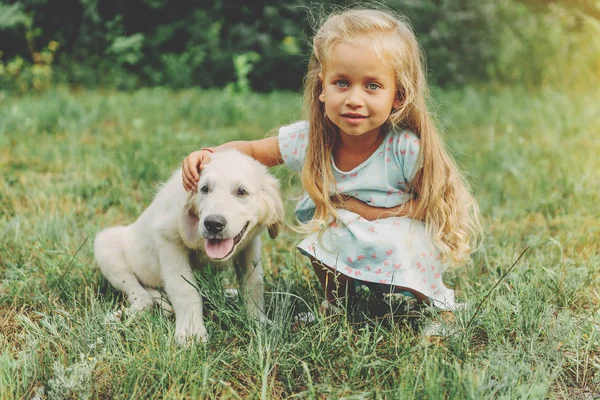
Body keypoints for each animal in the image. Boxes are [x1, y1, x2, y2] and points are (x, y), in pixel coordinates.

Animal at [94, 150, 284, 344]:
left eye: (241, 191)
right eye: (204, 189)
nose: (213, 224)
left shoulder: (249, 246)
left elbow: (254, 284)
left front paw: (259, 321)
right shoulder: (168, 240)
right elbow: (185, 290)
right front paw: (191, 332)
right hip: (106, 246)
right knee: (143, 299)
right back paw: (121, 315)